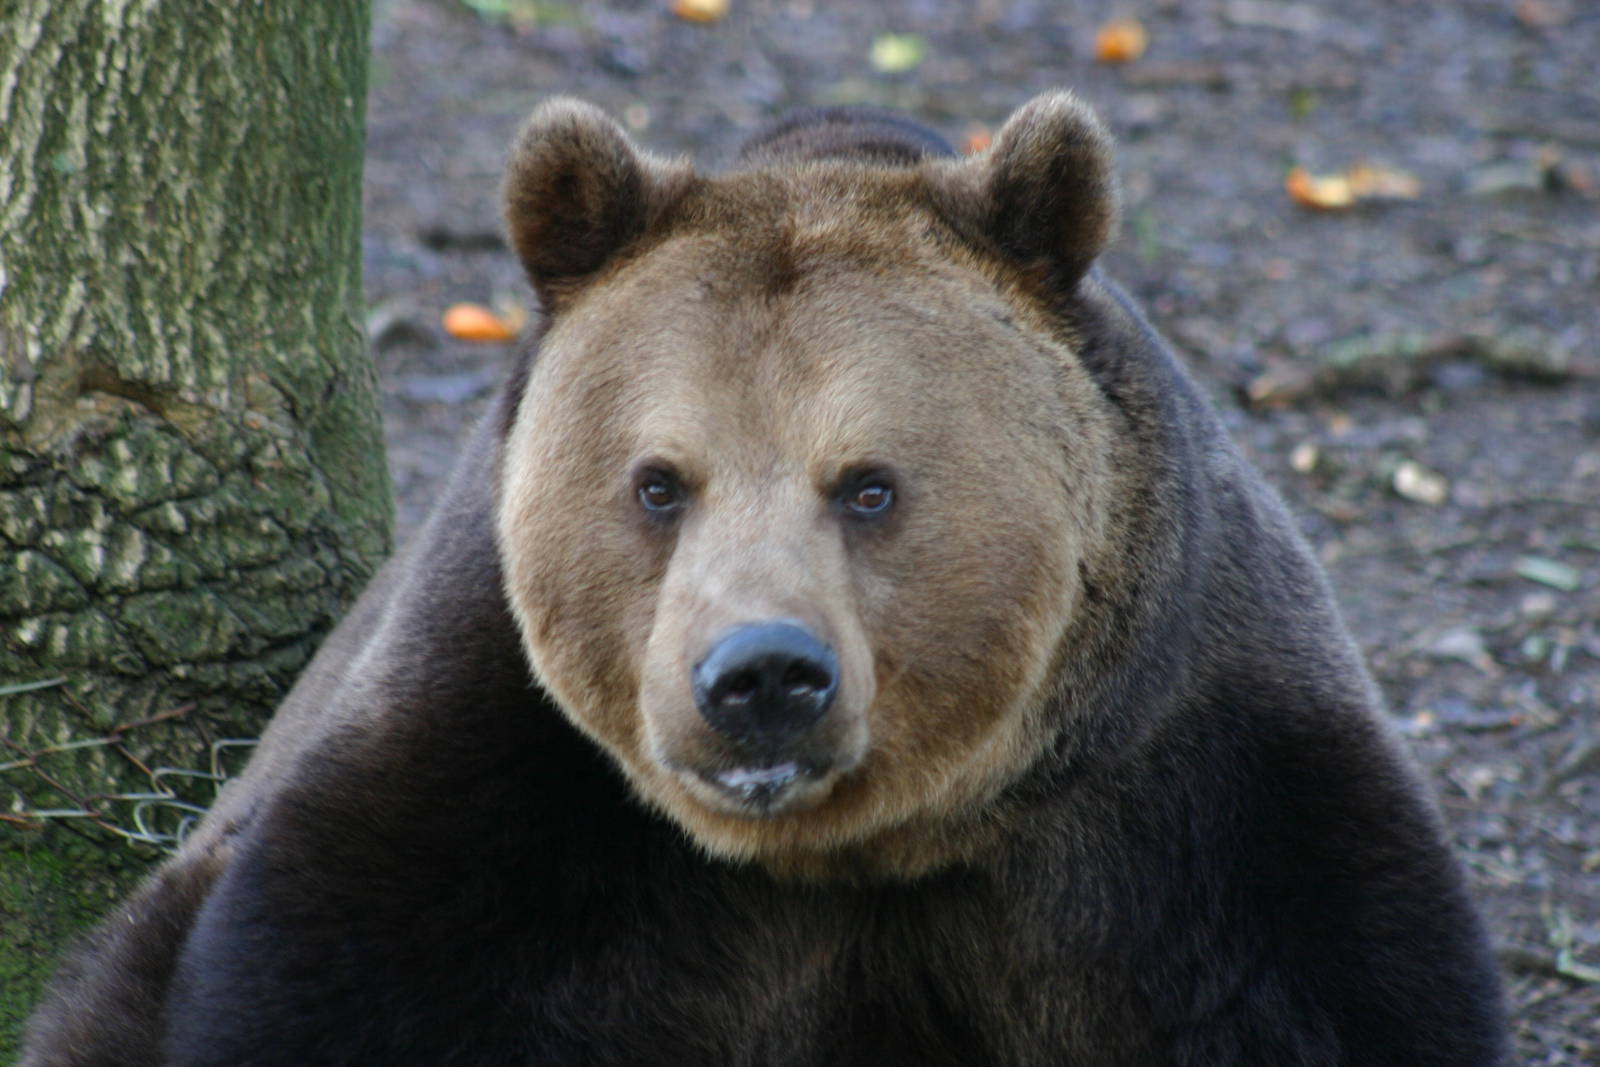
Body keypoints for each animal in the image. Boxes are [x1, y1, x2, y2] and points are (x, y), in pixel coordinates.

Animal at [23, 91, 1508, 1066]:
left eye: (868, 482)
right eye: (656, 480)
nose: (762, 676)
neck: (864, 845)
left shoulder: (1181, 785)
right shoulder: (500, 783)